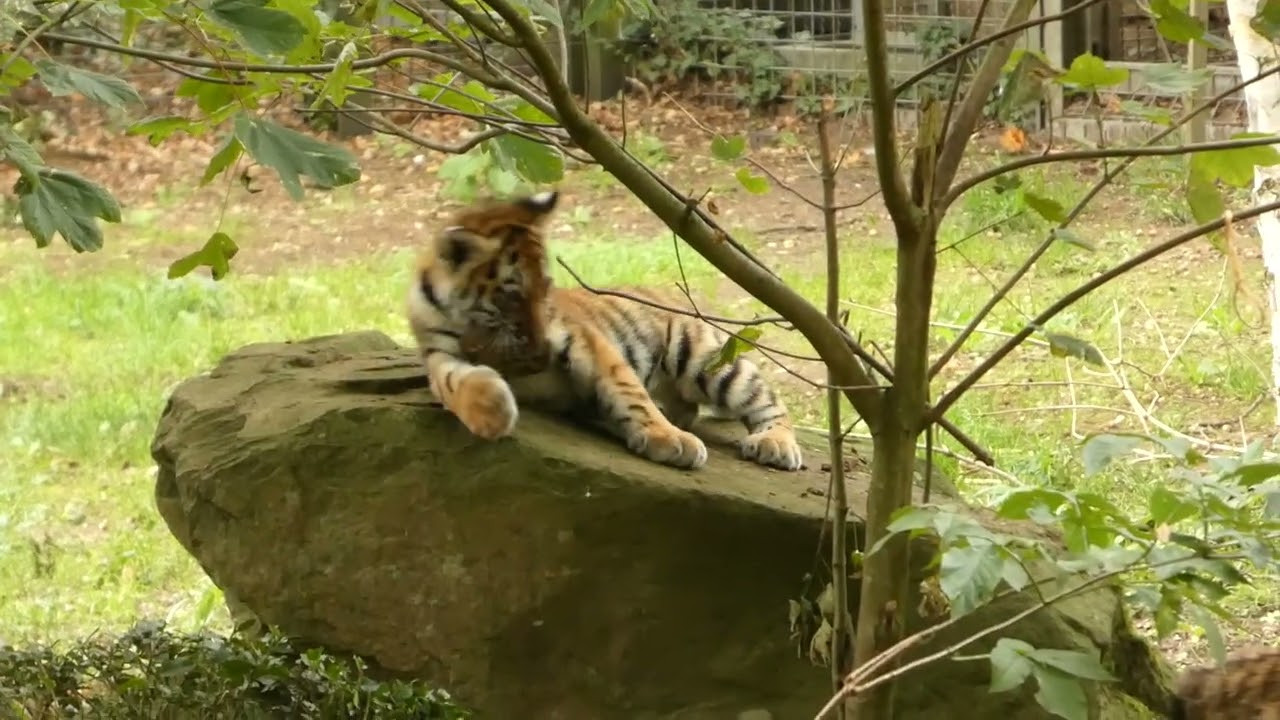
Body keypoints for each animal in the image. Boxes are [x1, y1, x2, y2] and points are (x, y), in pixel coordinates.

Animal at [404, 189, 804, 472]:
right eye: (512, 296)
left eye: (545, 288)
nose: (540, 355)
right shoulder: (439, 354)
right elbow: (456, 385)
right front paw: (491, 413)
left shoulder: (582, 339)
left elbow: (626, 389)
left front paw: (669, 438)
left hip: (705, 357)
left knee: (770, 402)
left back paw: (774, 444)